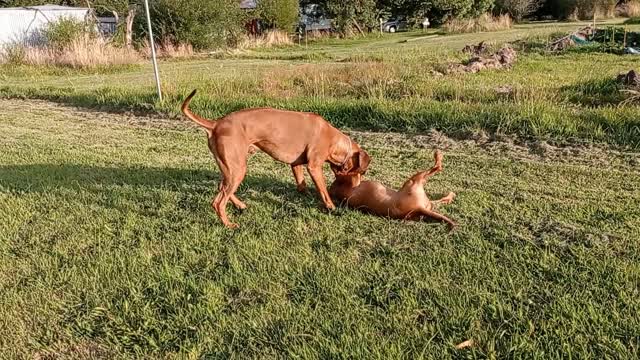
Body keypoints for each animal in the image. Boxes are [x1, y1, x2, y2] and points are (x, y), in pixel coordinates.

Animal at [180, 89, 370, 228]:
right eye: (363, 172)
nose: (358, 187)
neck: (333, 139)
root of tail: (216, 123)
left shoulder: (296, 164)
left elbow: (301, 183)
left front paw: (304, 194)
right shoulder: (314, 167)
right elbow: (323, 190)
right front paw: (331, 207)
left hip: (230, 166)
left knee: (221, 187)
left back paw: (239, 205)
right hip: (238, 168)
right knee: (218, 202)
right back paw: (229, 224)